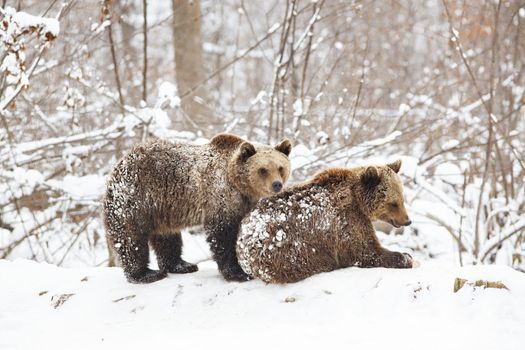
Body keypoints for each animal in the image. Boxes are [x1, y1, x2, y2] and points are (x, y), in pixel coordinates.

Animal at [102, 133, 290, 284]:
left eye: (280, 168)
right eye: (263, 170)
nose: (277, 184)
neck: (238, 183)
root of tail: (118, 165)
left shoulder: (242, 202)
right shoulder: (220, 196)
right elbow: (222, 234)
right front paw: (238, 273)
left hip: (162, 208)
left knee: (167, 237)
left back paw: (182, 265)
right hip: (136, 199)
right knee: (131, 238)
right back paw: (146, 274)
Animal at [236, 160, 414, 284]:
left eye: (402, 199)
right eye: (393, 203)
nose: (408, 220)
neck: (358, 201)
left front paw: (407, 255)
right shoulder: (345, 221)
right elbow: (365, 251)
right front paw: (405, 257)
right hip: (287, 249)